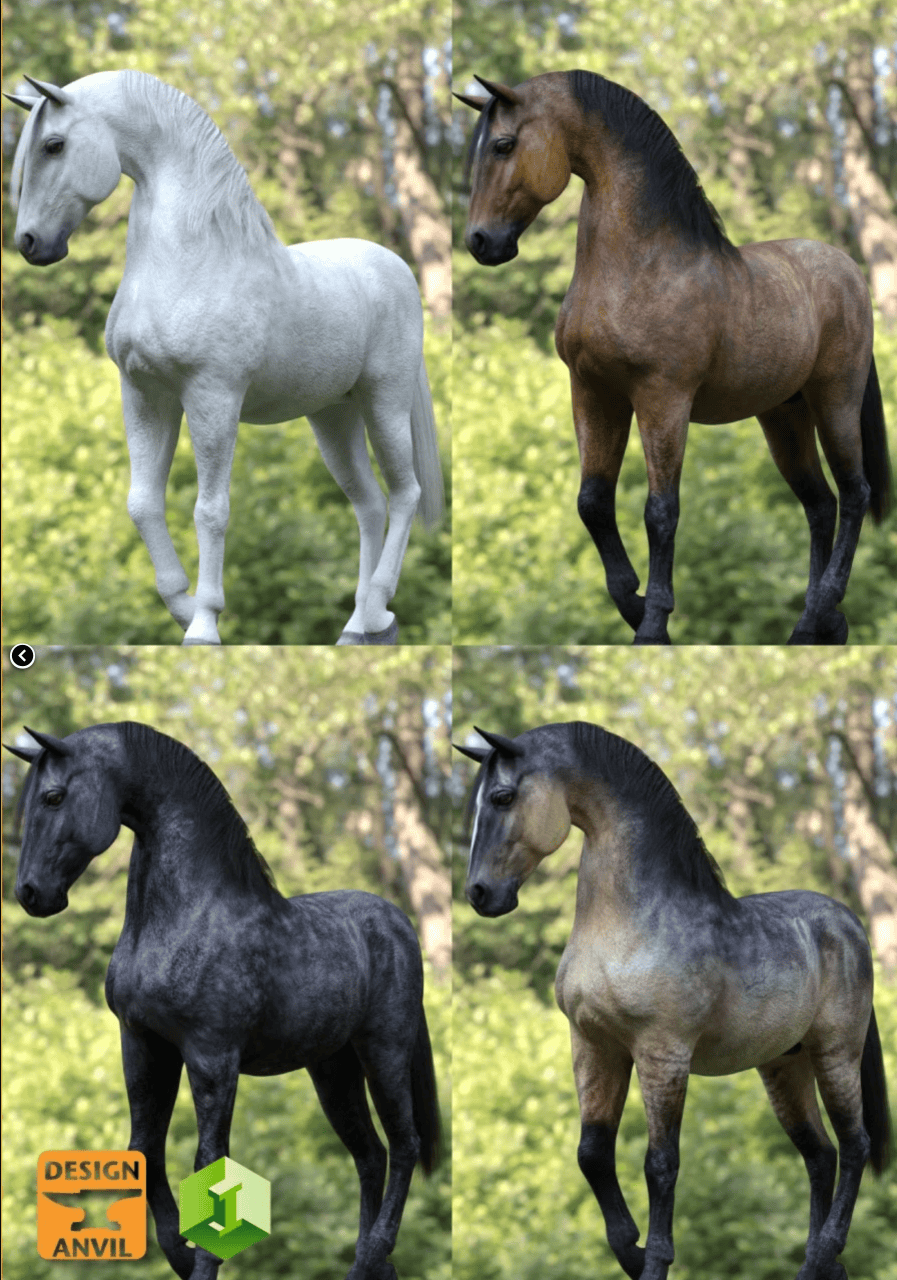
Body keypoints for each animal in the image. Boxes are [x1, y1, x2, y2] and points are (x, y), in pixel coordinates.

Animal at [7, 70, 444, 645]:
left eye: (54, 145)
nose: (30, 243)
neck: (192, 258)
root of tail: (396, 269)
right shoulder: (145, 396)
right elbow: (142, 503)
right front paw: (182, 605)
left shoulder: (212, 397)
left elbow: (210, 510)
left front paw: (205, 623)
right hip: (333, 416)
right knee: (369, 503)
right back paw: (358, 626)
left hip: (384, 402)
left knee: (405, 493)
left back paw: (377, 605)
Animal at [7, 722, 441, 1280]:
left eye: (54, 796)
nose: (31, 893)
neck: (188, 915)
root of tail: (398, 922)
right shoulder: (142, 1045)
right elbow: (145, 1149)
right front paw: (177, 1252)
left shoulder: (212, 1055)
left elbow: (208, 1161)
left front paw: (203, 1262)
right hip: (332, 1071)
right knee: (371, 1155)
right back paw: (369, 1263)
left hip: (384, 1051)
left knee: (404, 1145)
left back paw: (375, 1252)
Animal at [454, 722, 890, 1280]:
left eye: (503, 797)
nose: (480, 894)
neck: (629, 923)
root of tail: (848, 922)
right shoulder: (594, 1048)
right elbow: (592, 1153)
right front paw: (630, 1250)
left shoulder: (663, 1054)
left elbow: (661, 1163)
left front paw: (655, 1259)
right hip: (783, 1067)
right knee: (820, 1155)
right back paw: (820, 1263)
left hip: (836, 1054)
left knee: (855, 1146)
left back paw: (825, 1251)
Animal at [456, 71, 892, 645]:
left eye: (504, 145)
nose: (481, 242)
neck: (642, 264)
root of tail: (847, 271)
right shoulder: (594, 394)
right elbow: (592, 502)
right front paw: (632, 603)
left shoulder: (663, 399)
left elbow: (661, 511)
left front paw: (654, 622)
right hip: (784, 416)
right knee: (820, 505)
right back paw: (813, 624)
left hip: (835, 400)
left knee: (855, 492)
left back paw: (825, 606)